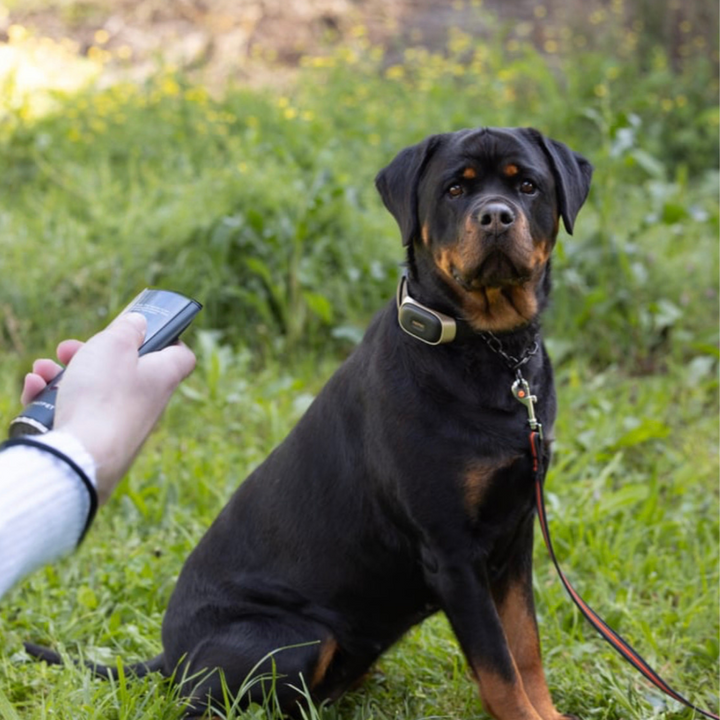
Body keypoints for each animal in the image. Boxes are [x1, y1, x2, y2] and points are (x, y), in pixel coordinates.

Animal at [26, 126, 592, 716]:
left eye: (527, 185)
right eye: (455, 190)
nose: (496, 216)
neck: (493, 354)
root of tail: (171, 656)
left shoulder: (516, 534)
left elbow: (524, 648)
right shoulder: (452, 553)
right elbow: (499, 669)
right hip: (296, 637)